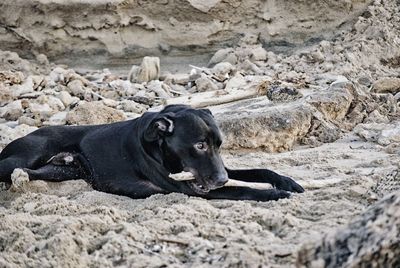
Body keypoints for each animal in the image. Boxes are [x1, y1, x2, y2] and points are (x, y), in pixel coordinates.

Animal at [0, 104, 304, 201]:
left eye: (219, 145)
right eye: (199, 145)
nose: (220, 180)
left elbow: (258, 170)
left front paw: (286, 181)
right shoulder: (190, 190)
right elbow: (241, 188)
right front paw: (275, 194)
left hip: (59, 170)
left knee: (28, 173)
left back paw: (21, 181)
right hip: (26, 154)